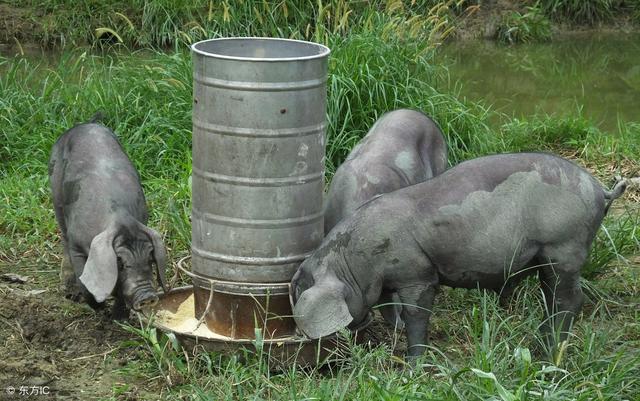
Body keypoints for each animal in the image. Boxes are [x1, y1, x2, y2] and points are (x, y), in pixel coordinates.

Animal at [48, 113, 166, 318]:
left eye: (150, 259)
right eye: (119, 262)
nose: (147, 296)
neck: (119, 217)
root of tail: (86, 123)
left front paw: (119, 318)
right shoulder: (77, 245)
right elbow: (84, 281)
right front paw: (99, 308)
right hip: (56, 192)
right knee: (63, 236)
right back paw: (70, 293)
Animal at [292, 152, 632, 356]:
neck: (353, 262)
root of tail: (599, 189)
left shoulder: (417, 274)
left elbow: (417, 314)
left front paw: (413, 364)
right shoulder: (387, 282)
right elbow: (389, 306)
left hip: (564, 246)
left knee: (569, 299)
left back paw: (549, 352)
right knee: (552, 297)